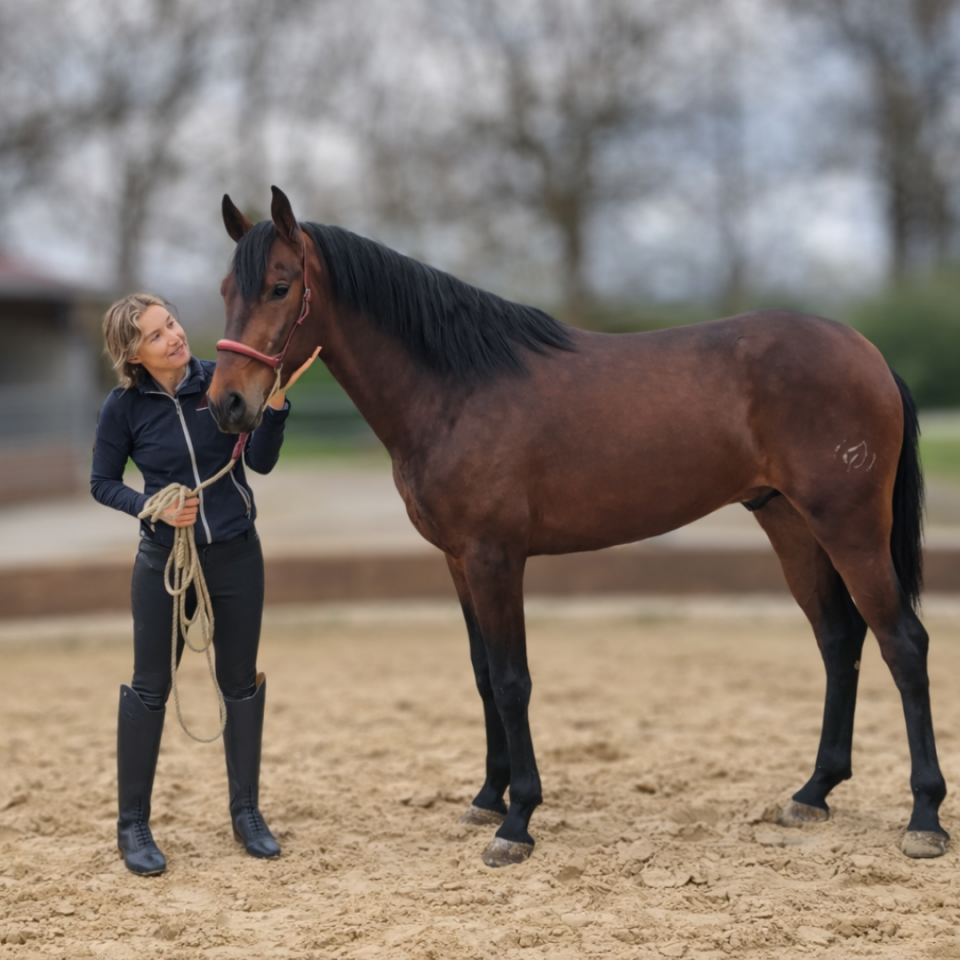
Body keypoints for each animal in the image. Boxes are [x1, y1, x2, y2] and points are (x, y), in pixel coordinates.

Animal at [208, 186, 948, 868]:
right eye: (224, 289)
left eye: (280, 287)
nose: (227, 404)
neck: (456, 390)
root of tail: (867, 354)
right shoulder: (458, 560)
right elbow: (484, 674)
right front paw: (487, 799)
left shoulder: (495, 557)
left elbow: (513, 681)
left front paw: (517, 822)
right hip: (790, 524)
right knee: (839, 640)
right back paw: (813, 792)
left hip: (849, 526)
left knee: (903, 644)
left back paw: (925, 818)